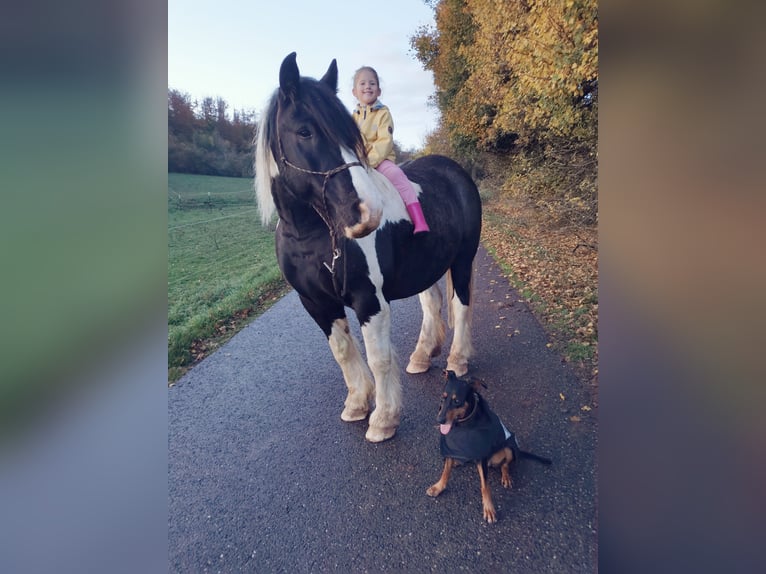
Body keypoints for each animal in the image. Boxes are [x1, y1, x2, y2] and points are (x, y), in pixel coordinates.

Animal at [255, 51, 484, 444]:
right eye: (304, 131)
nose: (366, 212)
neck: (309, 236)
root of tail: (456, 171)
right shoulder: (316, 303)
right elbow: (343, 352)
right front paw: (358, 403)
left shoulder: (368, 299)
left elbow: (378, 358)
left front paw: (383, 419)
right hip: (427, 265)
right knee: (432, 304)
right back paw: (422, 356)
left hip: (463, 259)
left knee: (461, 304)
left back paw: (457, 360)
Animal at [426, 372, 552, 524]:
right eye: (443, 397)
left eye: (457, 401)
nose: (439, 420)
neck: (463, 424)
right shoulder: (449, 448)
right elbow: (445, 471)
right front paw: (438, 487)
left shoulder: (482, 457)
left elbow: (485, 486)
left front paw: (489, 509)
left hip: (509, 448)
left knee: (505, 464)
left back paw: (506, 476)